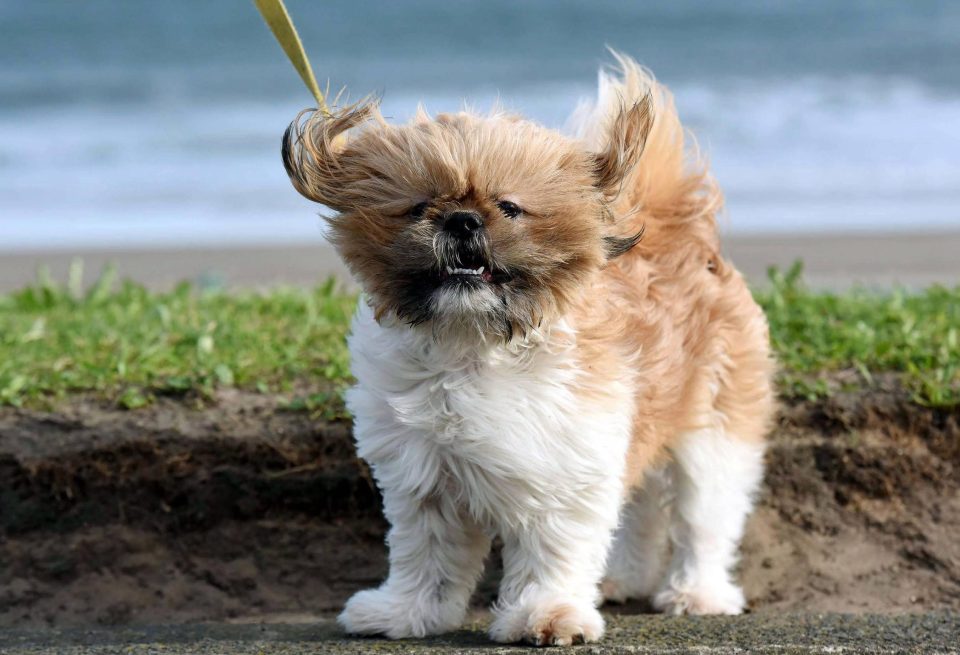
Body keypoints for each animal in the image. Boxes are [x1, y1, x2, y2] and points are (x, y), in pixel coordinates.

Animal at [282, 55, 776, 644]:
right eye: (419, 206)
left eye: (509, 207)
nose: (462, 219)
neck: (474, 343)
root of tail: (680, 229)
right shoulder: (424, 478)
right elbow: (427, 555)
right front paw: (407, 611)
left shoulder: (569, 468)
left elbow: (553, 552)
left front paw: (549, 613)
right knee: (640, 514)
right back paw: (624, 579)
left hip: (714, 430)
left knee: (703, 519)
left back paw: (697, 593)